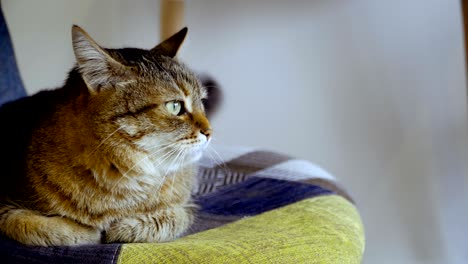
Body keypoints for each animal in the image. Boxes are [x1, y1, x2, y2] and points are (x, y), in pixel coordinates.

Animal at [0, 24, 212, 245]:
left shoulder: (186, 205)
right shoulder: (6, 207)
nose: (210, 132)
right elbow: (41, 227)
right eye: (175, 106)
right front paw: (86, 230)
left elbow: (173, 217)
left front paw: (124, 227)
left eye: (202, 102)